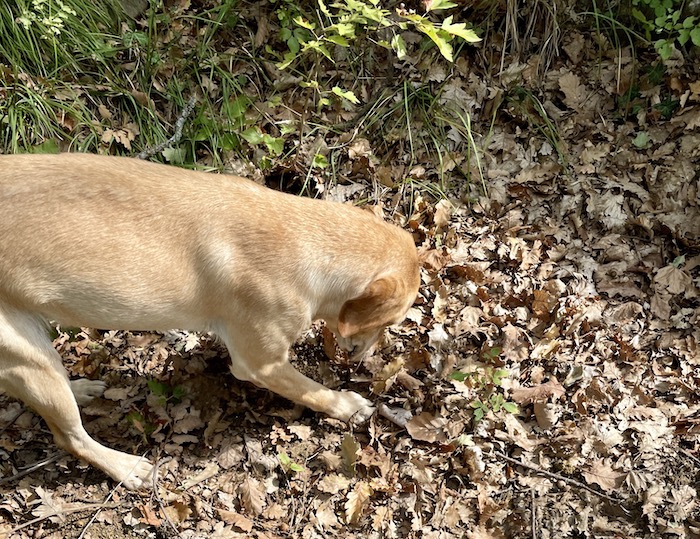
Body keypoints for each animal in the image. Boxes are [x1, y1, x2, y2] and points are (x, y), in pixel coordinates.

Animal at [0, 154, 422, 492]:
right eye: (392, 321)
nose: (366, 357)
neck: (304, 238)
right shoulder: (262, 364)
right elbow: (312, 391)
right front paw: (346, 406)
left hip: (38, 355)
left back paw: (82, 387)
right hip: (29, 362)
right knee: (69, 437)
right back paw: (127, 468)